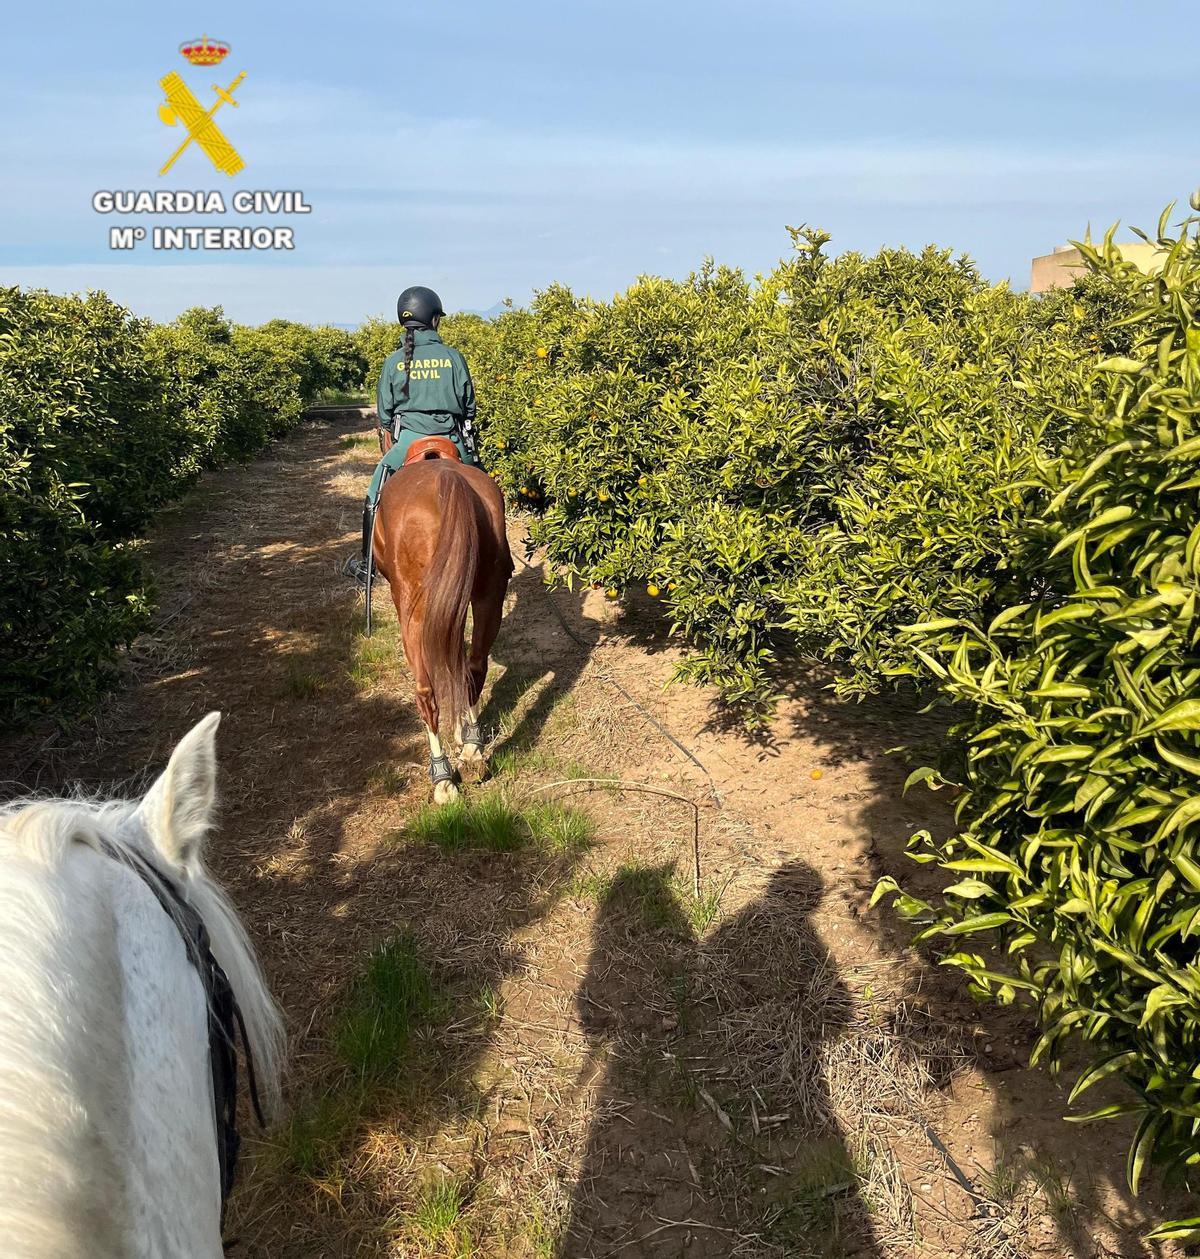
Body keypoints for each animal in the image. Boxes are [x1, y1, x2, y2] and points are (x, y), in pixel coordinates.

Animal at [371, 440, 513, 803]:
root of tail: (450, 483)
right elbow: (456, 660)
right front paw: (464, 734)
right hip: (488, 593)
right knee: (474, 669)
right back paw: (473, 751)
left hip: (412, 610)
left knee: (425, 692)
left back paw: (443, 778)